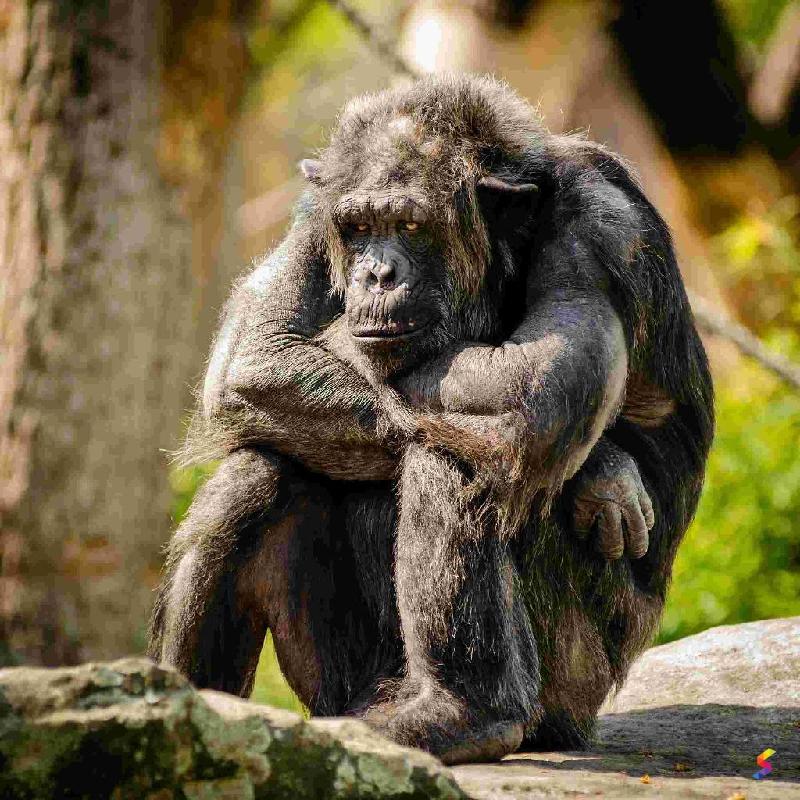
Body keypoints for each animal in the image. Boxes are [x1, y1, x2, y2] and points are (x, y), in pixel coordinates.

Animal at [149, 74, 713, 764]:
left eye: (412, 224)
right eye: (359, 227)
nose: (376, 271)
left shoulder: (603, 228)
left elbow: (538, 382)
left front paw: (603, 471)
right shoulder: (315, 212)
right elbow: (254, 352)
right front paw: (605, 472)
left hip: (572, 683)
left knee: (463, 450)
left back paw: (465, 713)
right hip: (341, 687)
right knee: (255, 474)